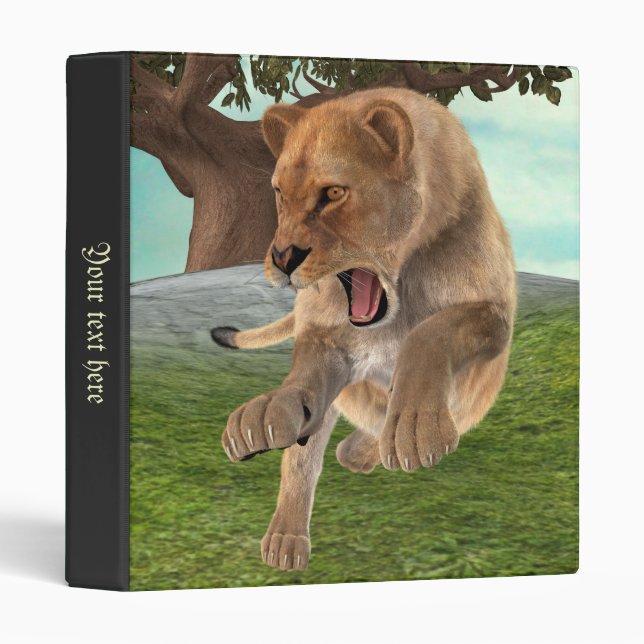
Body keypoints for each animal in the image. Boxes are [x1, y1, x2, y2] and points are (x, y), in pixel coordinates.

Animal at [210, 87, 516, 570]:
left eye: (333, 192)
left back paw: (361, 449)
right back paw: (285, 538)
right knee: (306, 454)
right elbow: (303, 396)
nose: (282, 258)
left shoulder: (493, 313)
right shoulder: (327, 338)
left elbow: (429, 333)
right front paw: (268, 413)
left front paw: (415, 427)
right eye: (279, 193)